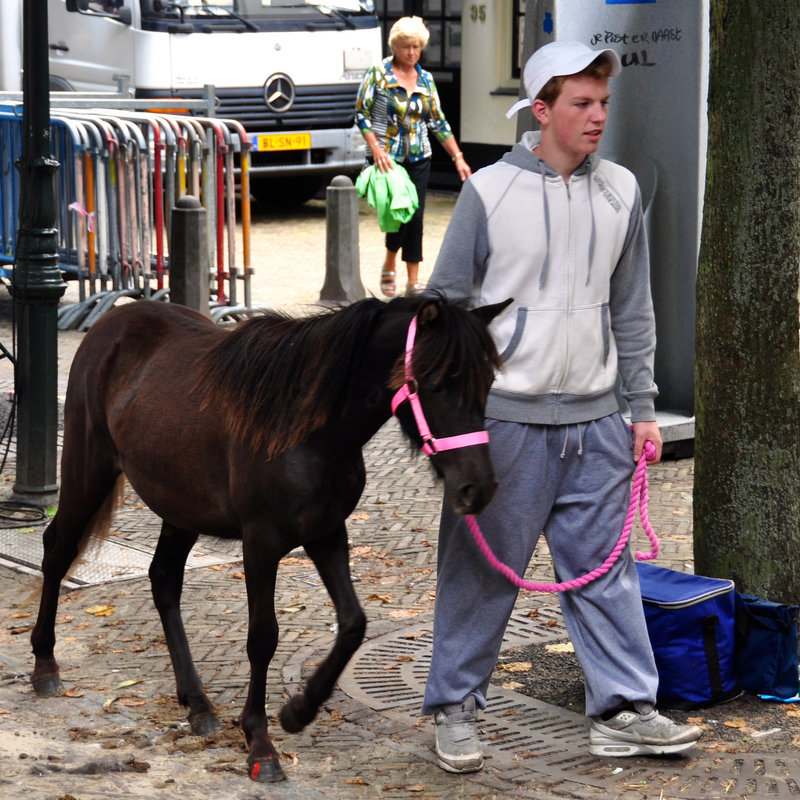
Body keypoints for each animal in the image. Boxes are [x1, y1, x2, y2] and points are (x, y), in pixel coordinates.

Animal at [31, 294, 510, 780]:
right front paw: (260, 743)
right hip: (88, 469)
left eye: (487, 382)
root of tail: (116, 319)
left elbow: (353, 624)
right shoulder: (260, 543)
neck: (307, 429)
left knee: (163, 579)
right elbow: (263, 637)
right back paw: (45, 665)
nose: (479, 488)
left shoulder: (327, 534)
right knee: (57, 551)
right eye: (436, 384)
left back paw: (198, 704)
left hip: (180, 506)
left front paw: (299, 711)